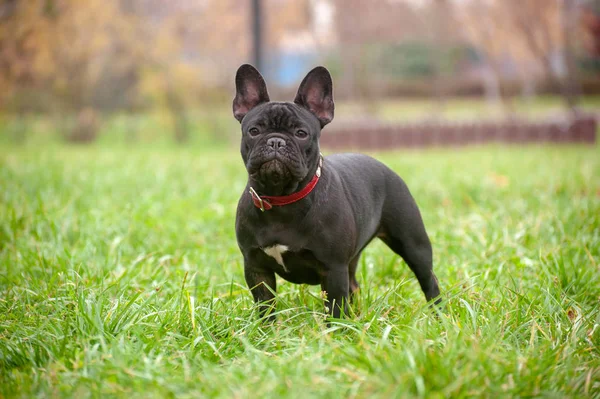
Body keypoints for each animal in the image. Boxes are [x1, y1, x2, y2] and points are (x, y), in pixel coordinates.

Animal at [232, 65, 438, 322]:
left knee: (428, 280)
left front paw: (336, 330)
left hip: (413, 244)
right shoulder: (256, 268)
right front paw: (266, 329)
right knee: (354, 286)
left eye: (301, 133)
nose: (276, 141)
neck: (282, 198)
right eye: (254, 130)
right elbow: (265, 306)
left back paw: (439, 315)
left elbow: (335, 308)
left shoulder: (332, 269)